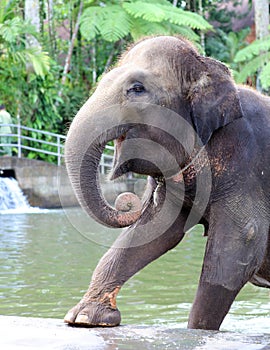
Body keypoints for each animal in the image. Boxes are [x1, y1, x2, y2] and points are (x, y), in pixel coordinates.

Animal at [63, 35, 270, 330]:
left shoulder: (246, 161)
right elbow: (155, 230)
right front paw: (85, 318)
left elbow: (240, 244)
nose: (128, 201)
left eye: (137, 89)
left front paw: (198, 330)